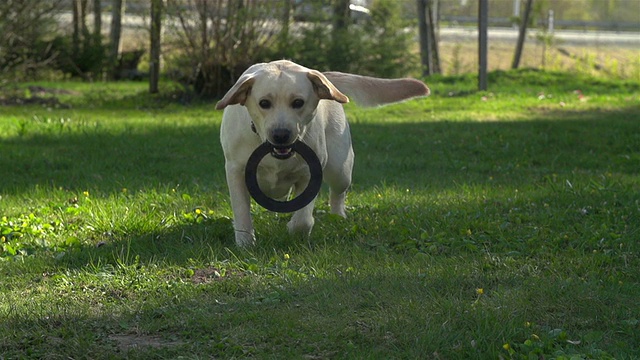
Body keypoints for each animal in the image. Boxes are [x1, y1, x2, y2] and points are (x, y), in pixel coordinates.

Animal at [216, 59, 430, 248]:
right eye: (264, 103)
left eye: (298, 102)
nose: (281, 135)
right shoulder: (236, 171)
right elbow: (241, 211)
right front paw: (245, 243)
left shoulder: (312, 172)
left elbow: (303, 218)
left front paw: (295, 229)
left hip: (340, 170)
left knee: (338, 193)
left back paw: (337, 216)